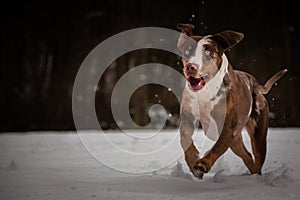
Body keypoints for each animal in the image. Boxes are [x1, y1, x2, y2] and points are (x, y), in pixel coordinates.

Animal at [177, 23, 288, 180]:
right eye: (187, 51)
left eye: (208, 52)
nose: (191, 67)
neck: (206, 91)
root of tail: (255, 84)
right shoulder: (188, 117)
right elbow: (185, 138)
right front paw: (193, 160)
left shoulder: (228, 127)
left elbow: (218, 146)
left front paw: (203, 164)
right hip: (236, 141)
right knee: (247, 155)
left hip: (257, 134)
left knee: (257, 155)